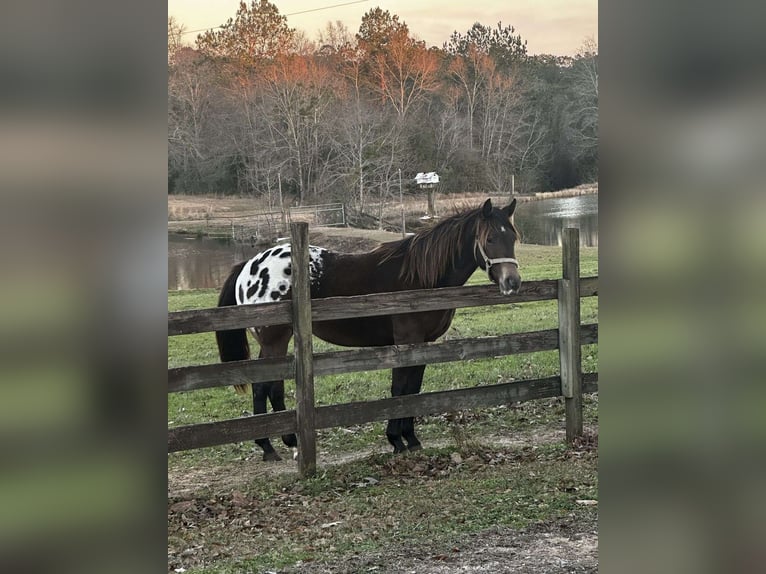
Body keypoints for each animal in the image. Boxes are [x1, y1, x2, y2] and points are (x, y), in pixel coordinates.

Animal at [219, 200, 524, 462]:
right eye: (489, 239)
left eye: (513, 238)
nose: (513, 282)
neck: (420, 278)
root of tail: (249, 266)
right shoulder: (406, 342)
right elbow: (400, 388)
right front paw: (396, 439)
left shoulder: (423, 344)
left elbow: (414, 389)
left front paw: (411, 438)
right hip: (275, 341)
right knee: (267, 386)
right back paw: (279, 445)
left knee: (266, 387)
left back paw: (275, 444)